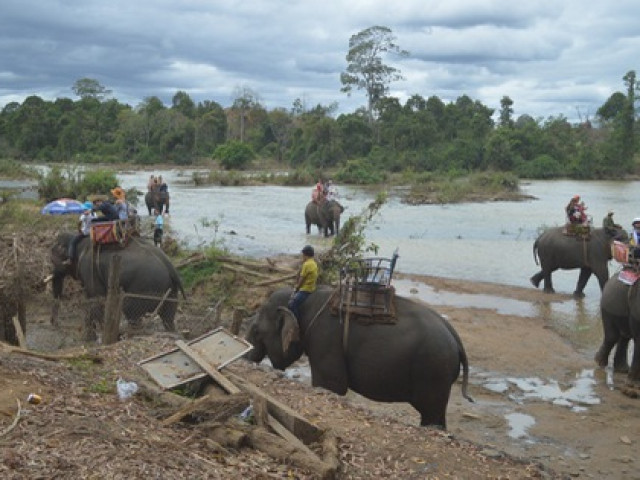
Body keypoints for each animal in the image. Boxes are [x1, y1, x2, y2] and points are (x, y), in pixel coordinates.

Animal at [50, 232, 185, 338]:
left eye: (52, 260)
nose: (55, 324)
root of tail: (172, 268)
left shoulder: (88, 268)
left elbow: (96, 301)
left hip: (145, 287)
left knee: (131, 311)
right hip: (170, 291)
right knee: (168, 317)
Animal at [248, 284, 472, 428]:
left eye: (257, 331)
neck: (301, 299)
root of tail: (455, 337)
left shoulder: (326, 339)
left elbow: (331, 385)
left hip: (434, 369)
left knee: (432, 414)